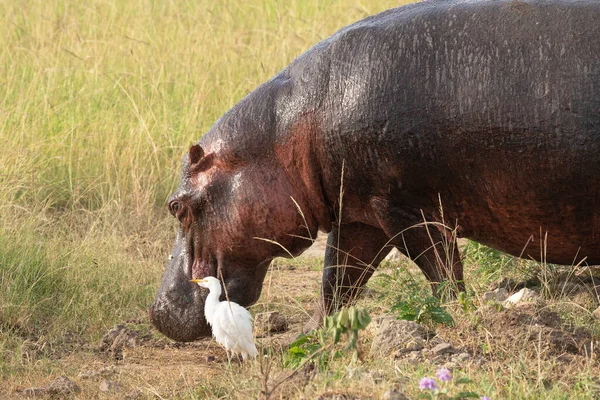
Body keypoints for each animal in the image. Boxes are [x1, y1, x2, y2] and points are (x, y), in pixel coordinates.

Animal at [149, 0, 600, 342]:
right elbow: (337, 280)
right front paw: (310, 337)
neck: (282, 132)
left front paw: (455, 317)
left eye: (175, 206)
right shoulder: (359, 215)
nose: (156, 310)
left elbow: (441, 272)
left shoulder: (405, 209)